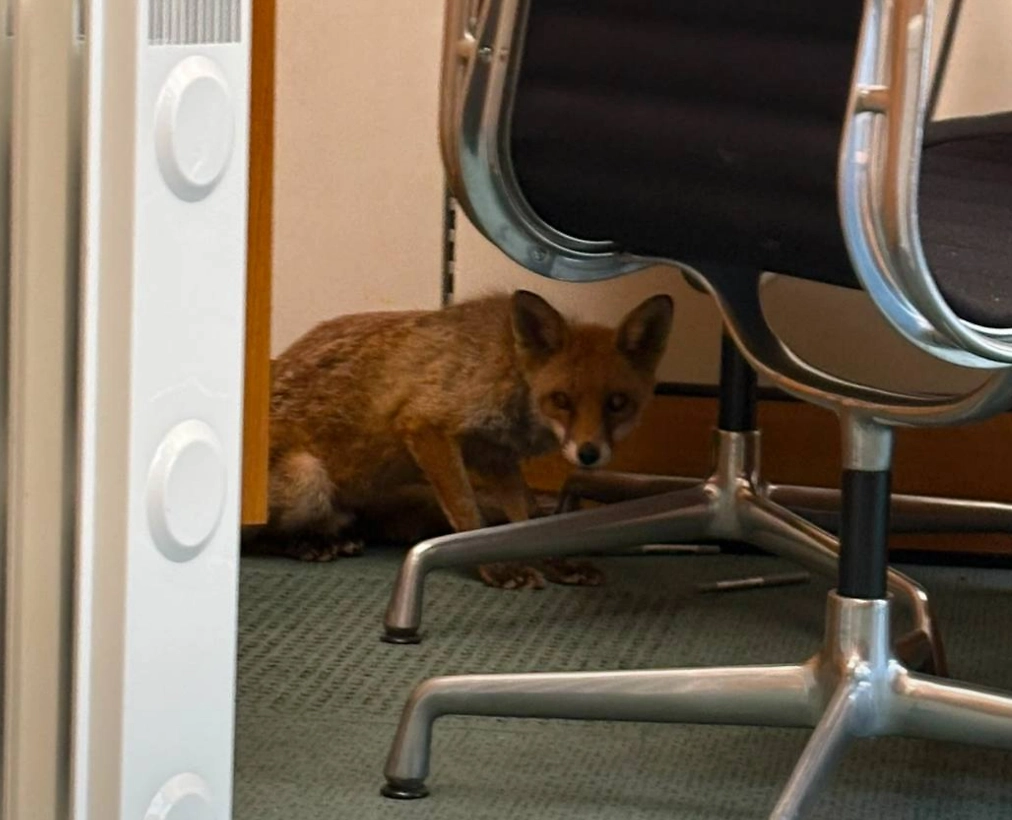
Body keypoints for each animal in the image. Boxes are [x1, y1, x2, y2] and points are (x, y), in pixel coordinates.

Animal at [247, 289, 674, 590]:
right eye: (562, 400)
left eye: (617, 403)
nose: (588, 454)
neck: (504, 368)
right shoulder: (427, 427)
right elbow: (471, 518)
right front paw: (498, 568)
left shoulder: (496, 456)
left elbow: (530, 521)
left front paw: (556, 562)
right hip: (307, 476)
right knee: (254, 539)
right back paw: (307, 544)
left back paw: (337, 536)